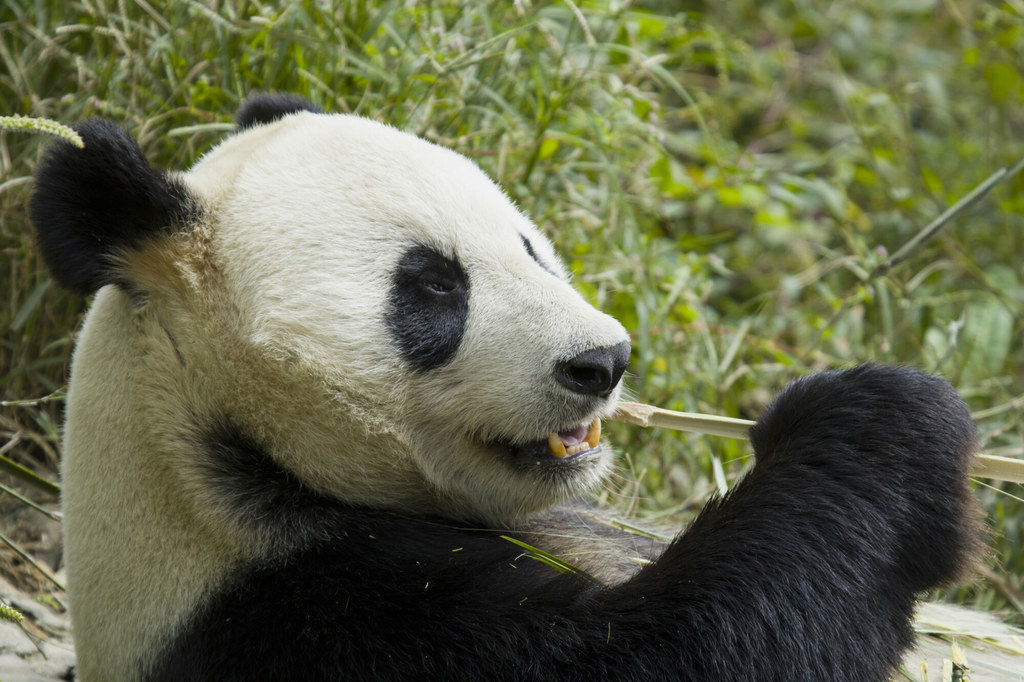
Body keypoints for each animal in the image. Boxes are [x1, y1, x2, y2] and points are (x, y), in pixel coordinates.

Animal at [28, 96, 978, 679]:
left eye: (529, 246)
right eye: (432, 286)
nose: (603, 361)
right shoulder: (295, 618)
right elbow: (685, 648)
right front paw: (878, 420)